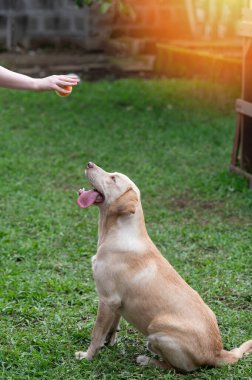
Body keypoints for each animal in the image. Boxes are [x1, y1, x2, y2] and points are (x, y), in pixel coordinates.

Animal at [75, 162, 252, 372]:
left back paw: (147, 360)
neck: (117, 231)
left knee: (179, 368)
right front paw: (109, 343)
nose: (89, 164)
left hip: (157, 331)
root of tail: (217, 352)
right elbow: (111, 328)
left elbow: (96, 333)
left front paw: (87, 356)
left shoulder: (107, 299)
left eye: (113, 178)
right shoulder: (116, 303)